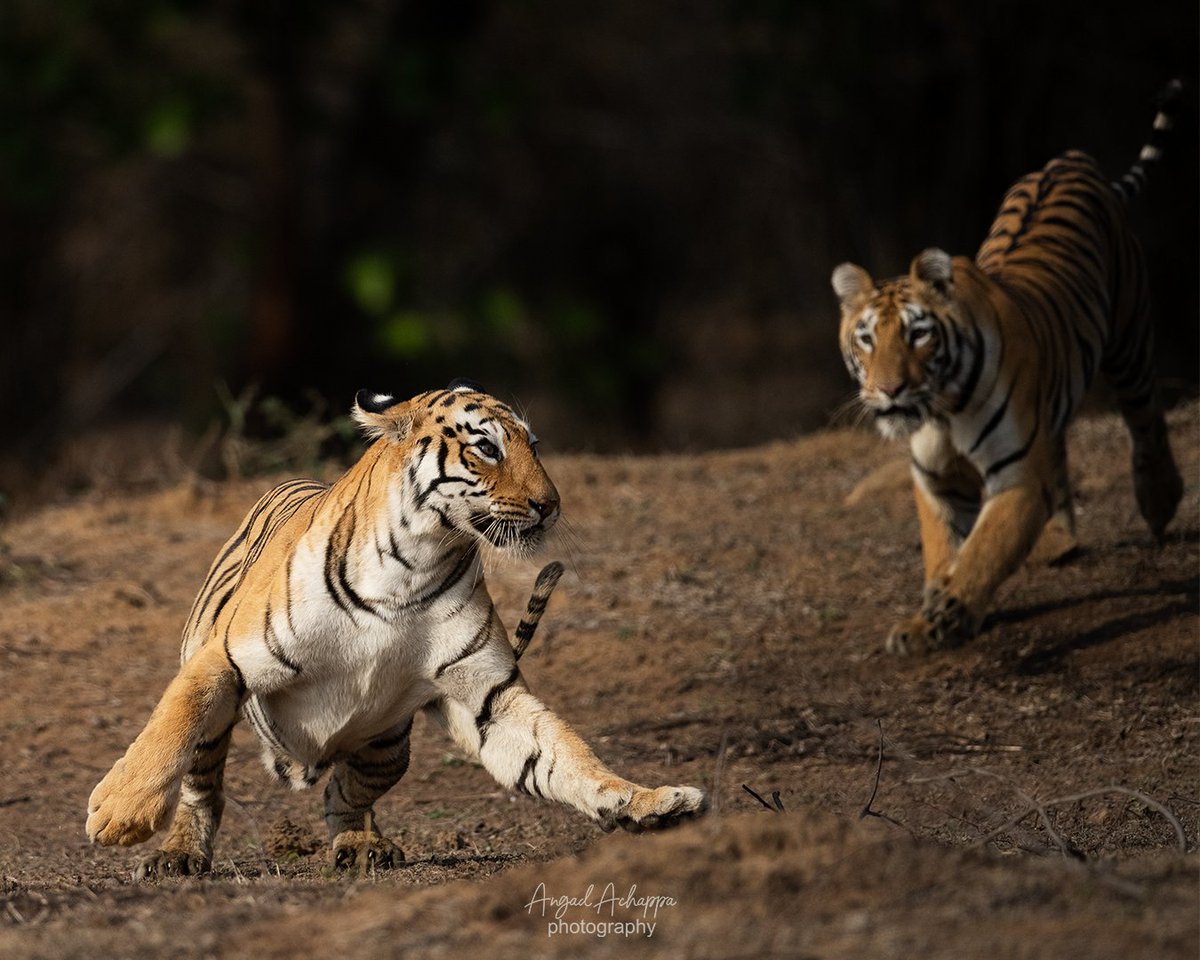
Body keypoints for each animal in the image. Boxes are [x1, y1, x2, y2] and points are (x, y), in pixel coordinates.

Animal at [86, 379, 705, 878]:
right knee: (204, 787)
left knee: (343, 794)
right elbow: (171, 725)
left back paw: (363, 846)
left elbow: (567, 754)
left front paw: (649, 802)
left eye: (533, 446)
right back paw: (177, 854)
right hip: (220, 718)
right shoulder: (228, 657)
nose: (549, 505)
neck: (414, 564)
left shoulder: (490, 695)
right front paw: (117, 813)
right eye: (487, 447)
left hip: (386, 747)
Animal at [831, 80, 1185, 656]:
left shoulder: (1017, 477)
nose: (889, 390)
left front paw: (943, 617)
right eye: (867, 338)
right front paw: (928, 619)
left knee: (1146, 420)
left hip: (1130, 338)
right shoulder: (935, 479)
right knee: (1062, 452)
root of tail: (1068, 159)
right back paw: (1059, 541)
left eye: (917, 333)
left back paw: (1159, 501)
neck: (941, 410)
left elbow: (982, 552)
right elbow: (945, 552)